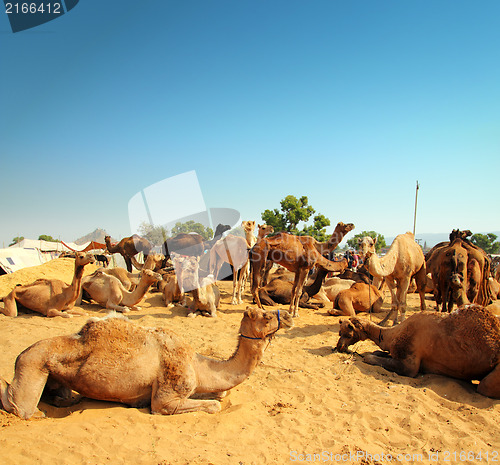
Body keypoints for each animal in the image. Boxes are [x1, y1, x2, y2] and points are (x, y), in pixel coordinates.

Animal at [0, 306, 292, 418]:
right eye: (265, 316)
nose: (288, 316)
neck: (197, 364)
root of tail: (20, 355)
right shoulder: (167, 398)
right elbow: (213, 405)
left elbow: (219, 395)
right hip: (32, 365)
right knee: (17, 405)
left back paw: (68, 400)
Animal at [334, 304, 500, 398]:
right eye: (339, 332)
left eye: (348, 334)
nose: (339, 347)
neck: (392, 334)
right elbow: (377, 353)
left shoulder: (410, 362)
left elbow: (369, 357)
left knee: (484, 387)